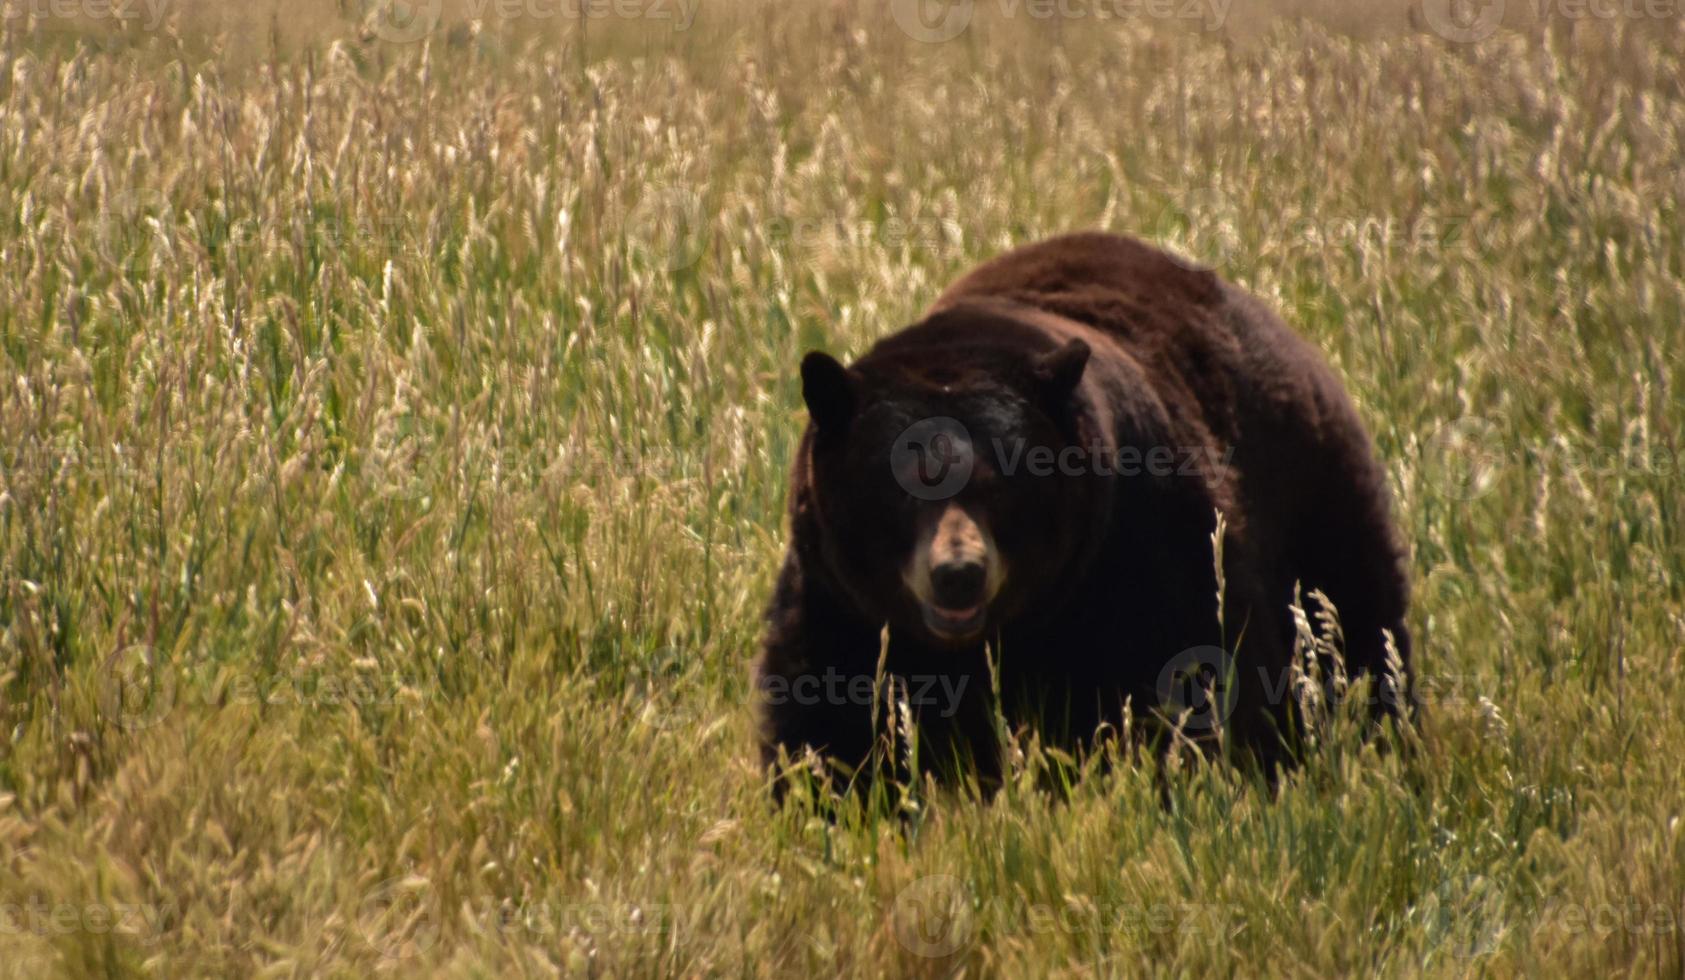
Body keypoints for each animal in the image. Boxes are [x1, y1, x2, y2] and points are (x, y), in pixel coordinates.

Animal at [751, 232, 1408, 798]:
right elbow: (825, 713)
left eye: (1001, 484)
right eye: (901, 488)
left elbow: (1204, 679)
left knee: (1361, 634)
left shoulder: (1152, 550)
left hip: (1319, 508)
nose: (958, 574)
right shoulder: (840, 601)